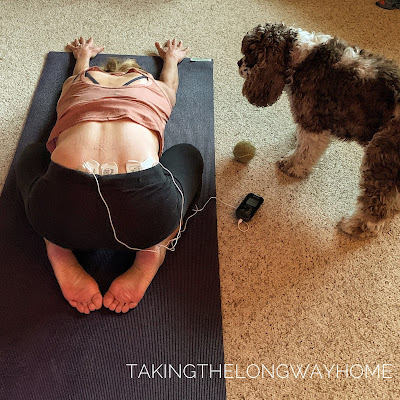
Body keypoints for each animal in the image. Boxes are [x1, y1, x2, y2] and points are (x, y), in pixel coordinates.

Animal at [238, 23, 400, 237]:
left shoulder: (313, 122)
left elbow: (305, 151)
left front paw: (291, 165)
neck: (301, 56)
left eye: (249, 53)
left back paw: (355, 226)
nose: (238, 63)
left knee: (378, 204)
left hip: (381, 155)